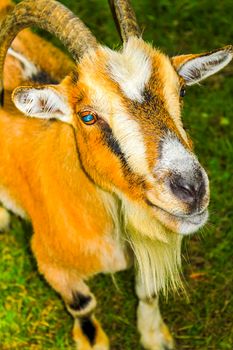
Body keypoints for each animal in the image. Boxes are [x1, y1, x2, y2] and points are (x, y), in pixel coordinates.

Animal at [0, 0, 232, 348]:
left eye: (181, 92)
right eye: (87, 116)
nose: (191, 188)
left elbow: (147, 291)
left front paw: (155, 337)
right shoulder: (49, 262)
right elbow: (82, 305)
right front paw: (92, 341)